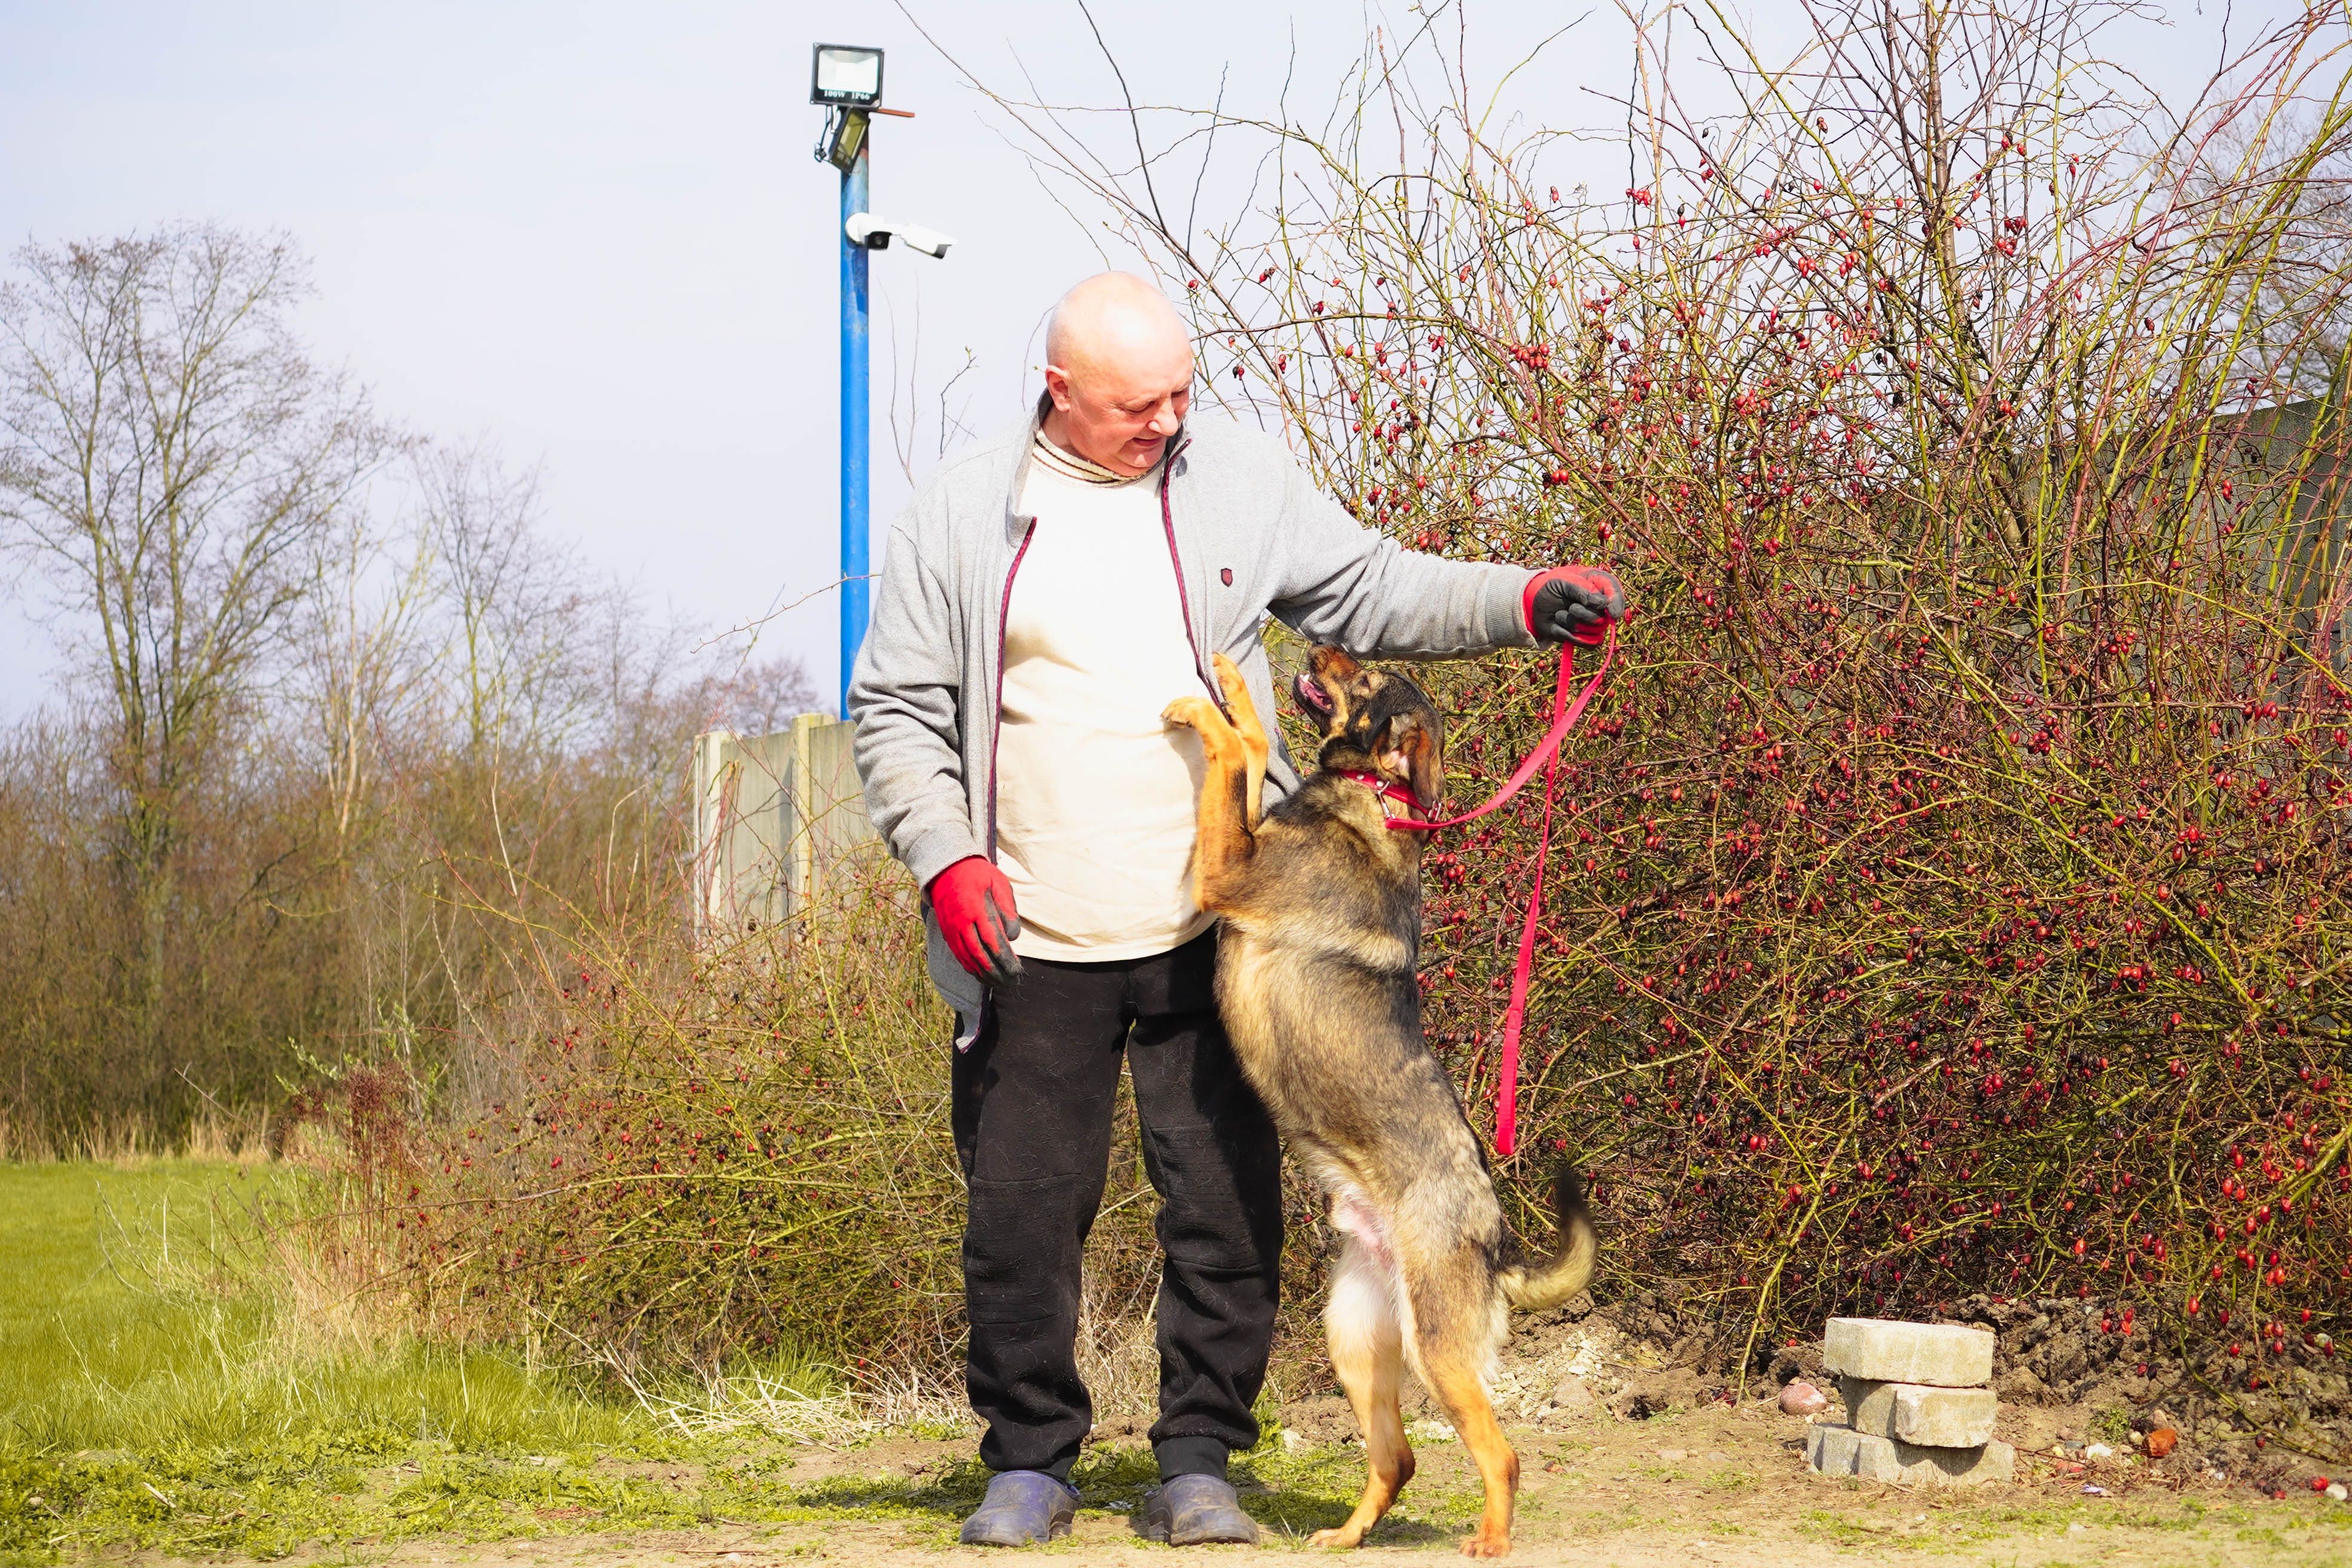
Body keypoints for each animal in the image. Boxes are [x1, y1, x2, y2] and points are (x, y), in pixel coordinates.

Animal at [1162, 648, 1599, 1561]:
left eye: (1366, 681)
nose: (1322, 645)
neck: (1372, 793)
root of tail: (1496, 1242)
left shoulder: (1226, 868)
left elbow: (1228, 756)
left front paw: (1211, 705)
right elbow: (1251, 749)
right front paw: (1236, 691)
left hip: (1437, 1352)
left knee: (1500, 1455)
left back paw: (1491, 1539)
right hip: (1357, 1340)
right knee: (1396, 1459)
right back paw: (1346, 1534)